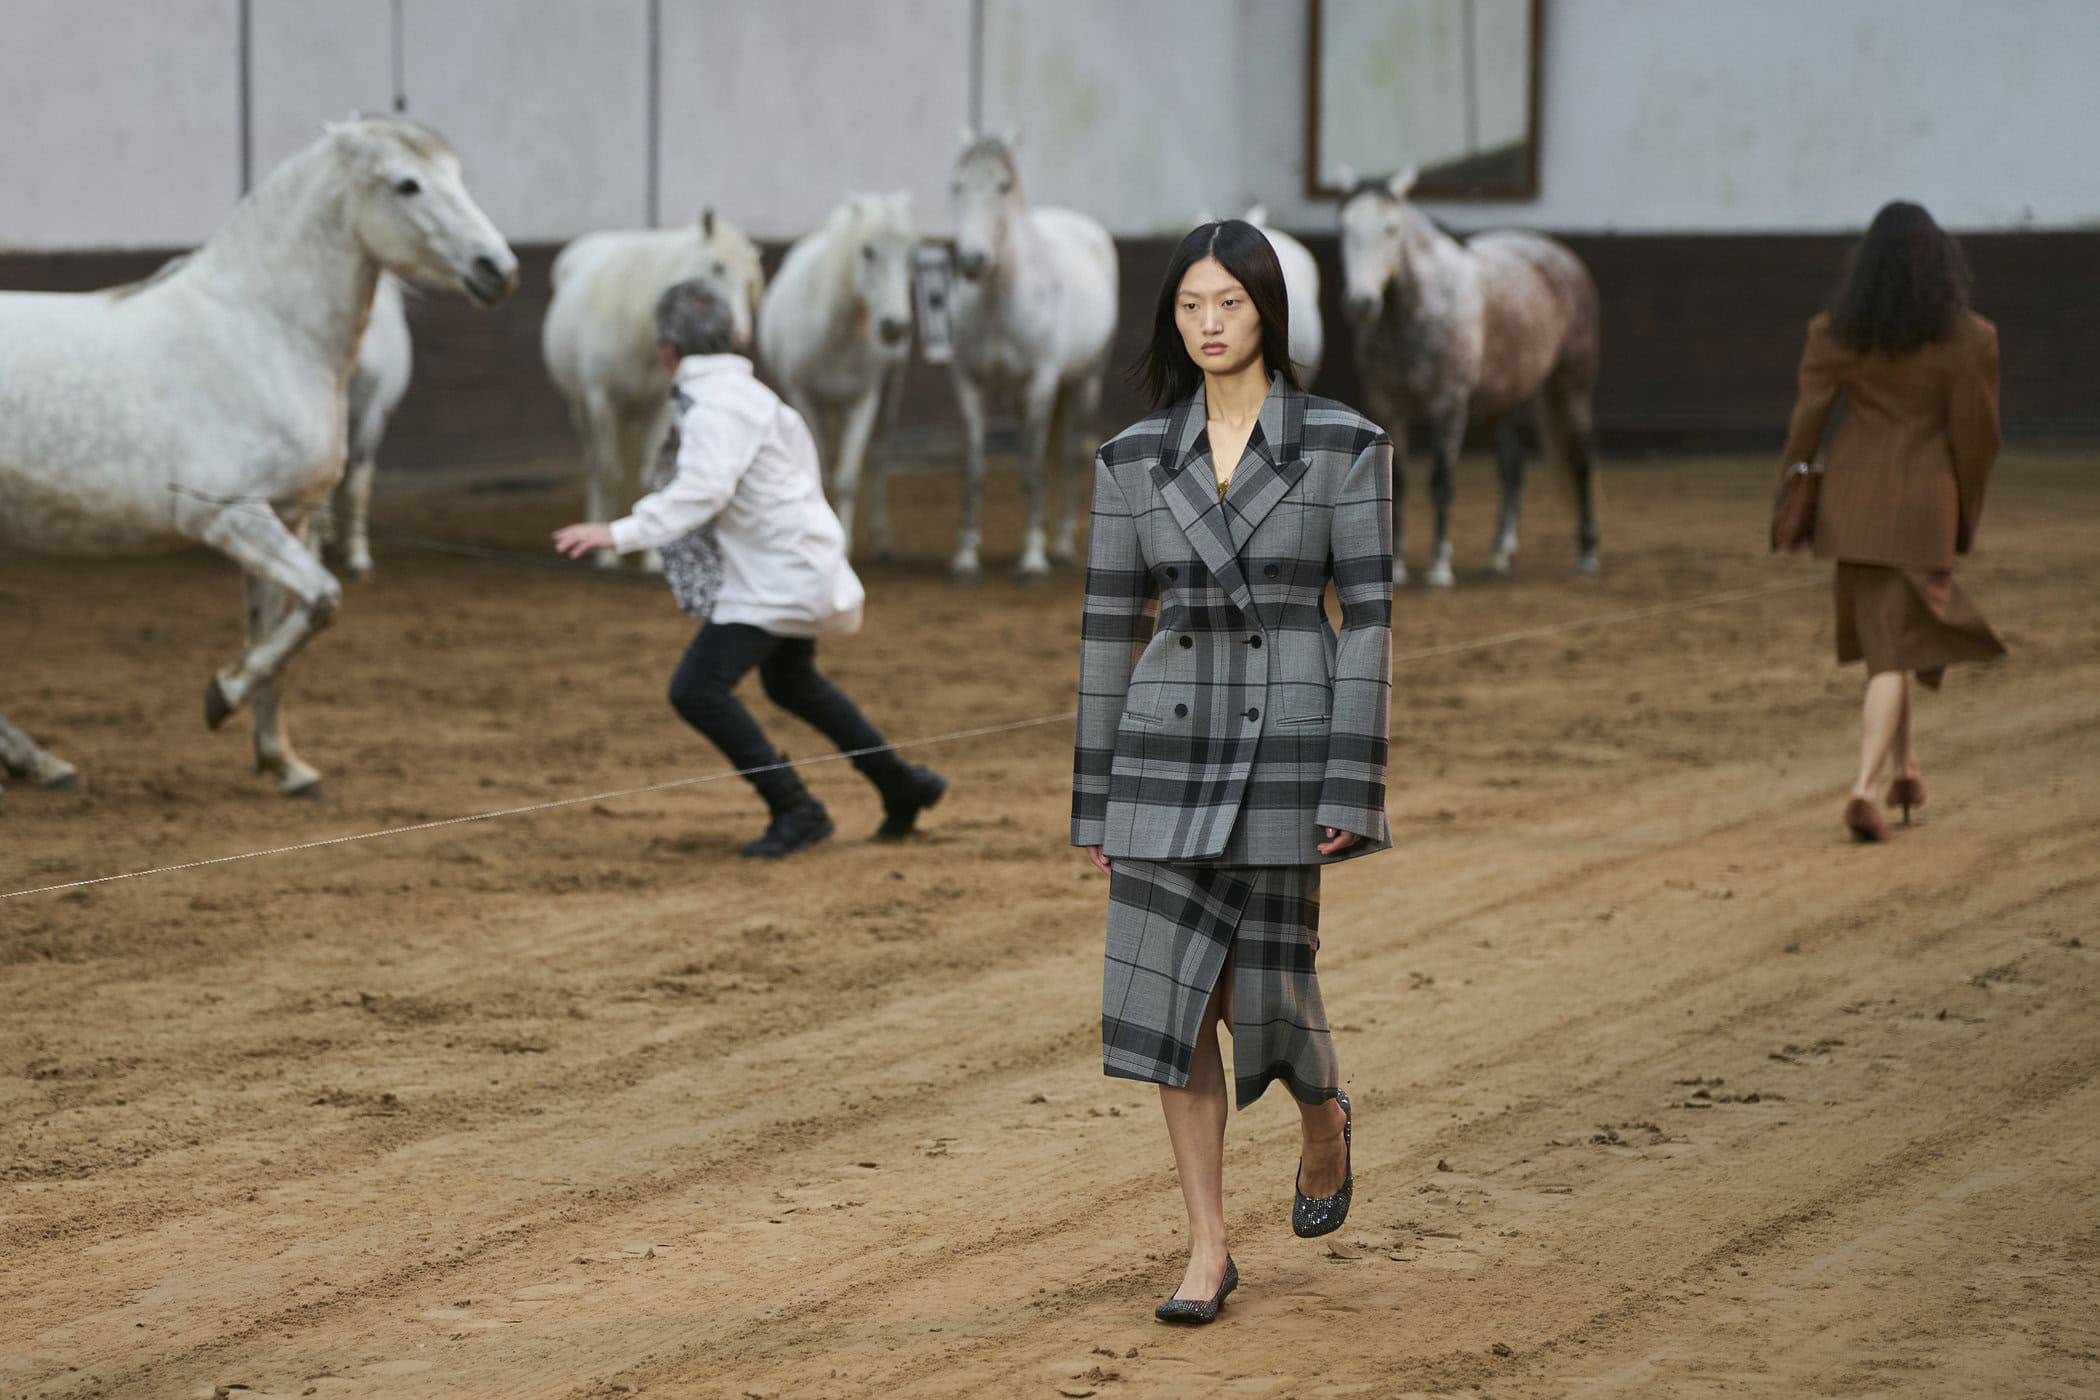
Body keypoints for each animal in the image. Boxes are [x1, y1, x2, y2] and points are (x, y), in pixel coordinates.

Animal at [541, 210, 766, 571]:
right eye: (717, 268)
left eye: (751, 283)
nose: (740, 334)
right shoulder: (602, 402)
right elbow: (610, 473)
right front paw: (606, 556)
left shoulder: (659, 406)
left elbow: (649, 479)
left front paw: (651, 561)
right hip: (581, 408)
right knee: (596, 465)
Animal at [757, 191, 916, 557]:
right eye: (867, 251)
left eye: (909, 253)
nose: (894, 327)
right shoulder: (804, 397)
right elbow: (822, 472)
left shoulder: (864, 399)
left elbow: (846, 479)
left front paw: (844, 547)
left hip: (889, 394)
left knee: (879, 456)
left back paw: (882, 538)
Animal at [947, 130, 1118, 579]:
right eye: (957, 186)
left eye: (1003, 185)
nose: (973, 260)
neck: (997, 300)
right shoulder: (968, 384)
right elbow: (973, 466)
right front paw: (965, 556)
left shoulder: (1040, 383)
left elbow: (1032, 466)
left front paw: (1033, 558)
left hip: (1086, 382)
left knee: (1072, 454)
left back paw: (1060, 544)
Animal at [1338, 167, 1601, 587]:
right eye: (1345, 227)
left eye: (1391, 229)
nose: (1361, 304)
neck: (1417, 310)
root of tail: (1557, 256)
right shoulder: (1388, 404)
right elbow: (1399, 479)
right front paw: (1397, 567)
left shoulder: (1448, 406)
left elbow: (1441, 481)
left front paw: (1440, 566)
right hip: (1505, 399)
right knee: (1512, 467)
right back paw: (1501, 553)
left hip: (1574, 382)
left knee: (1582, 458)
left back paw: (1587, 553)